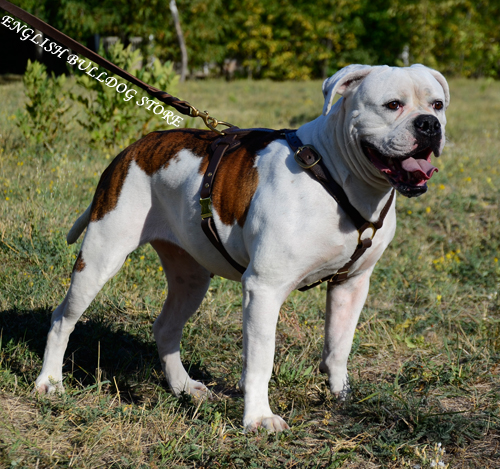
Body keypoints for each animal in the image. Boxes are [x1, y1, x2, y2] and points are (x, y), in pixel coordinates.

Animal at [34, 64, 450, 430]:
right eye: (393, 104)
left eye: (437, 104)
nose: (430, 125)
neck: (336, 175)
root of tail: (134, 148)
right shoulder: (264, 288)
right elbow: (261, 360)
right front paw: (259, 419)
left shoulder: (351, 284)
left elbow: (338, 345)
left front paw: (341, 396)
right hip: (100, 258)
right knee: (62, 318)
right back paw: (50, 382)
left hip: (190, 277)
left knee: (166, 327)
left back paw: (183, 387)